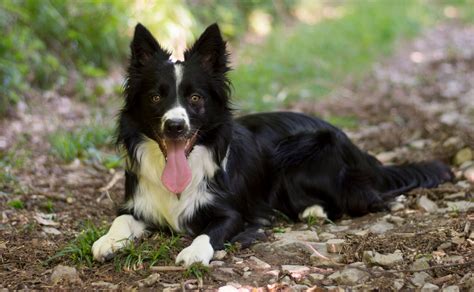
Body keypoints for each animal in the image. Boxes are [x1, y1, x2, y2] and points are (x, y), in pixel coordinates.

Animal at [91, 24, 452, 266]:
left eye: (195, 98)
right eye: (155, 97)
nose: (176, 126)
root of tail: (361, 153)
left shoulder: (233, 212)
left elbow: (210, 232)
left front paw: (193, 251)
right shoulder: (137, 204)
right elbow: (120, 219)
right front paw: (107, 240)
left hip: (305, 150)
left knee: (365, 200)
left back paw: (312, 210)